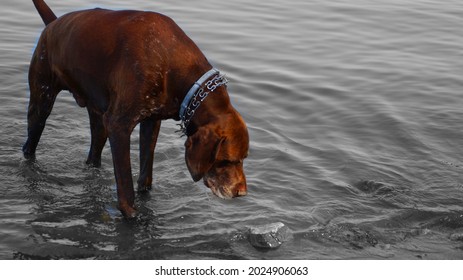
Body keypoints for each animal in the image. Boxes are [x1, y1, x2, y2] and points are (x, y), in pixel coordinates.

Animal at [24, 0, 250, 218]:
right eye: (226, 161)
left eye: (244, 159)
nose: (242, 193)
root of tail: (53, 24)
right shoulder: (119, 126)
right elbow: (125, 183)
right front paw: (131, 215)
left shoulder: (151, 122)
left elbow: (145, 173)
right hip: (41, 103)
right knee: (29, 146)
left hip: (98, 123)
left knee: (93, 154)